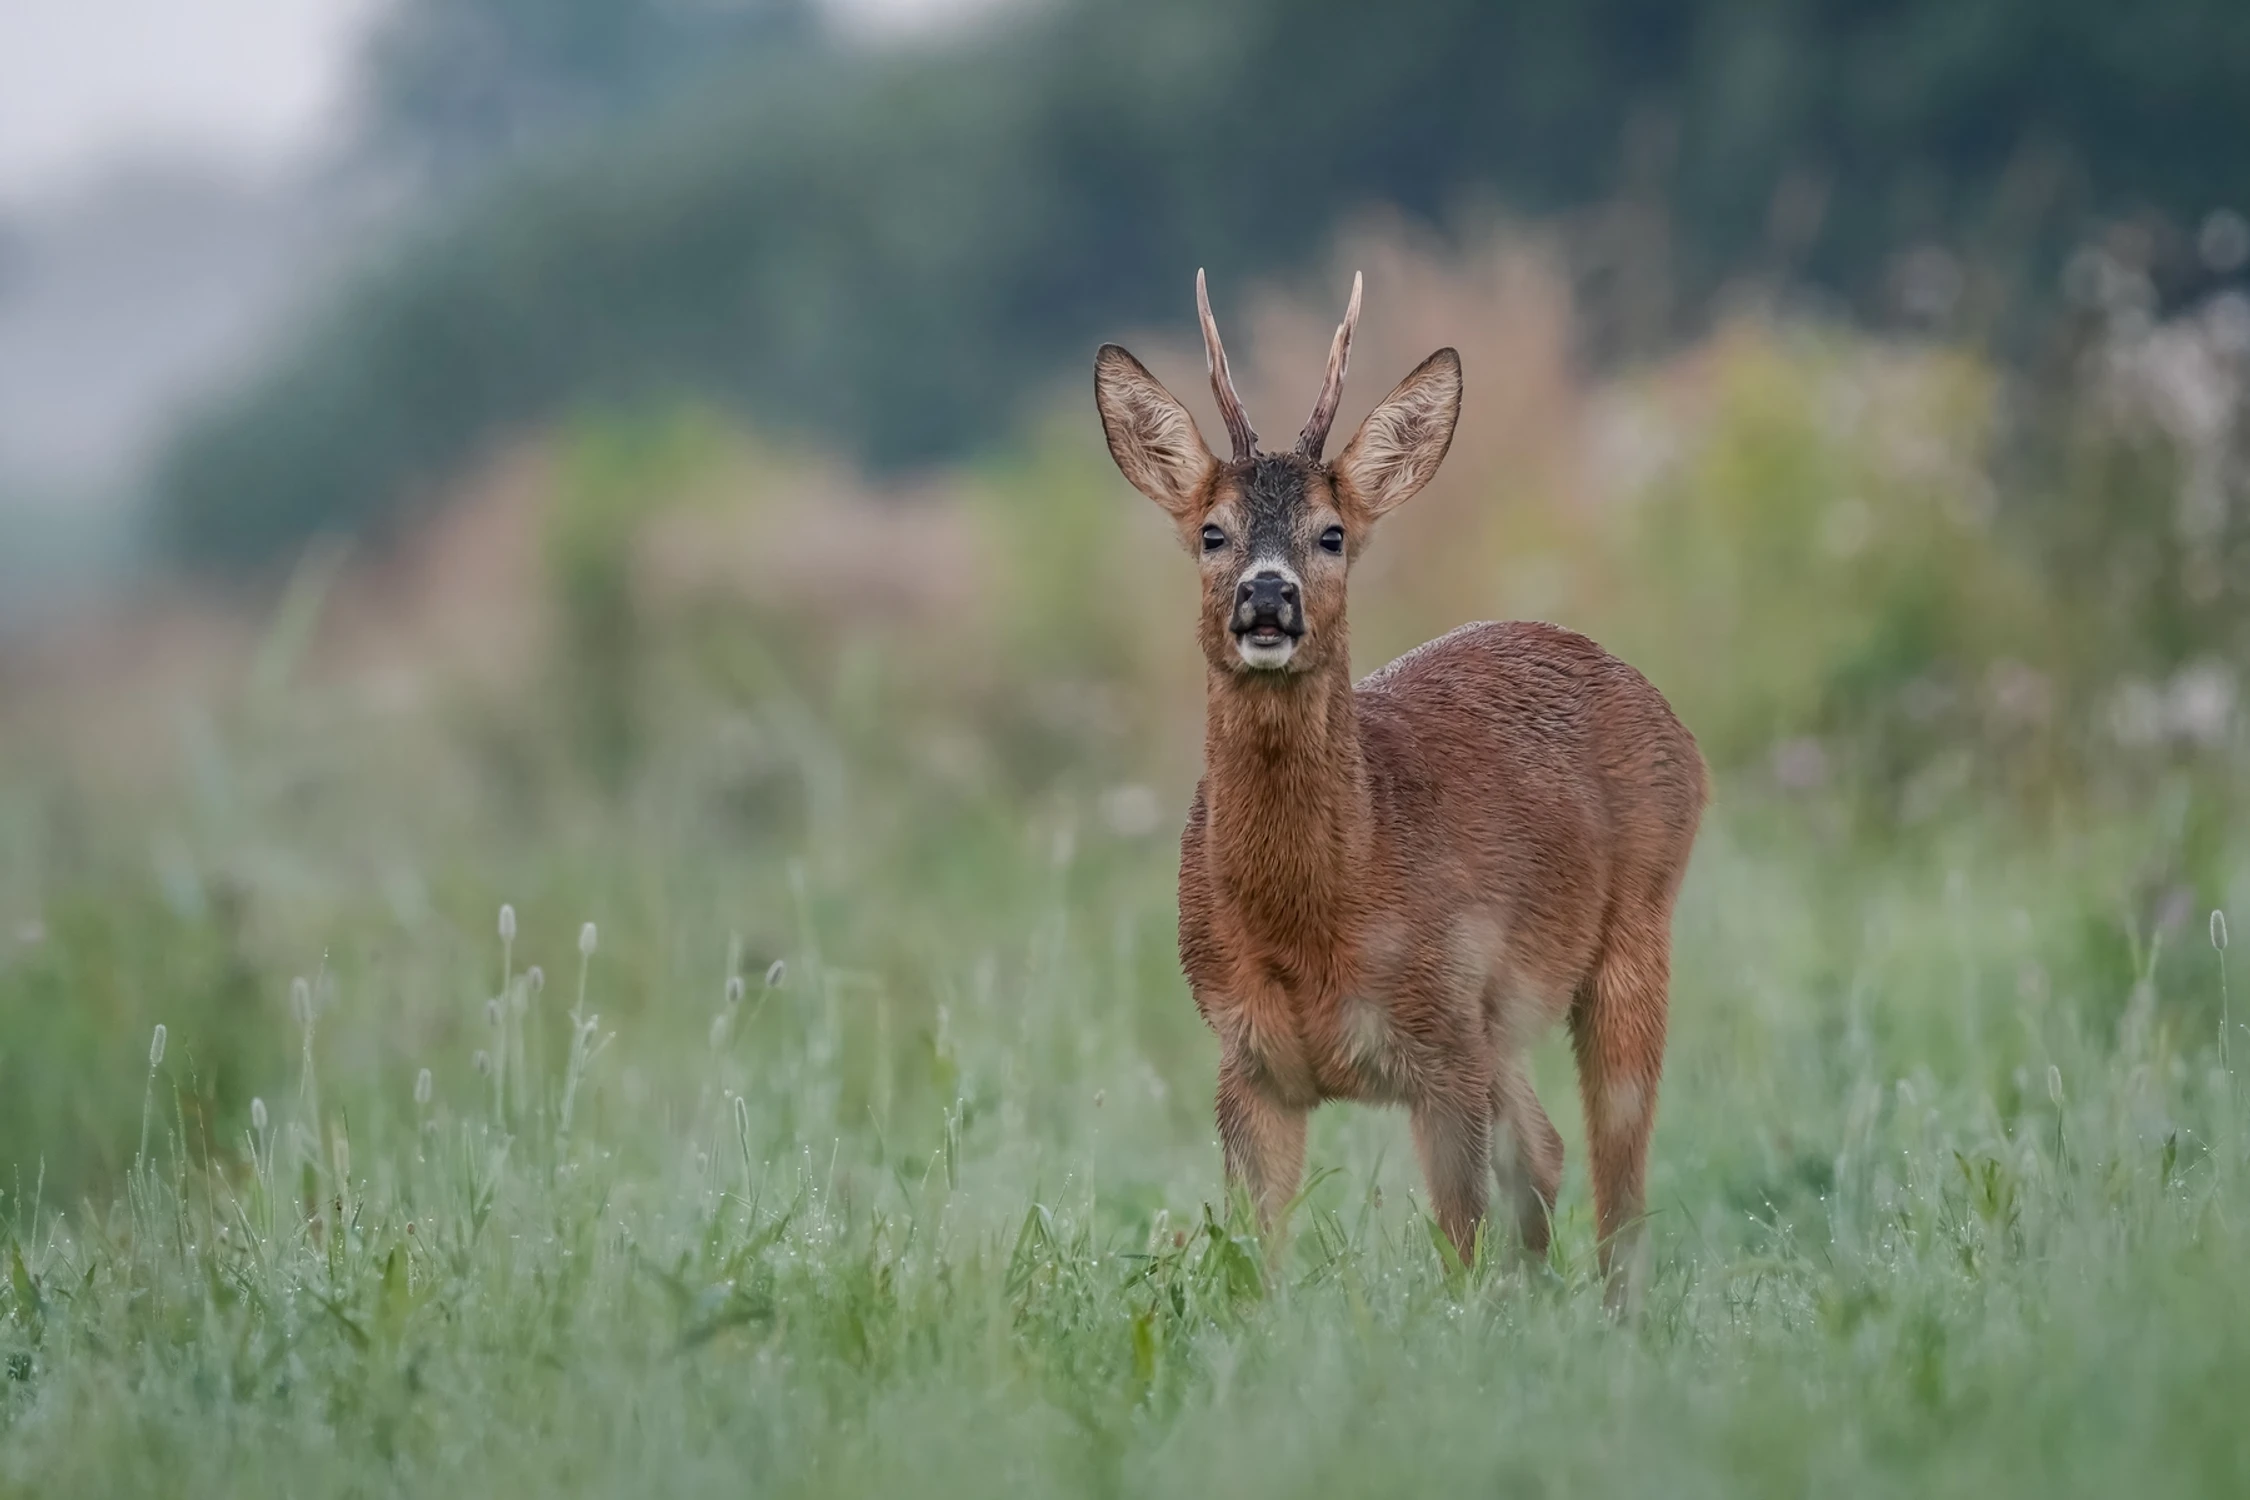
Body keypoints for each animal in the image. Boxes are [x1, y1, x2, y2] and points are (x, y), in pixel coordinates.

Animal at [1089, 269, 1701, 1295]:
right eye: (1212, 533)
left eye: (1333, 534)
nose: (1268, 594)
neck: (1321, 916)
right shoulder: (1246, 1057)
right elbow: (1254, 1259)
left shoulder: (1445, 1039)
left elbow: (1460, 1244)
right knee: (1545, 1153)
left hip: (1634, 934)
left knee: (1620, 1188)